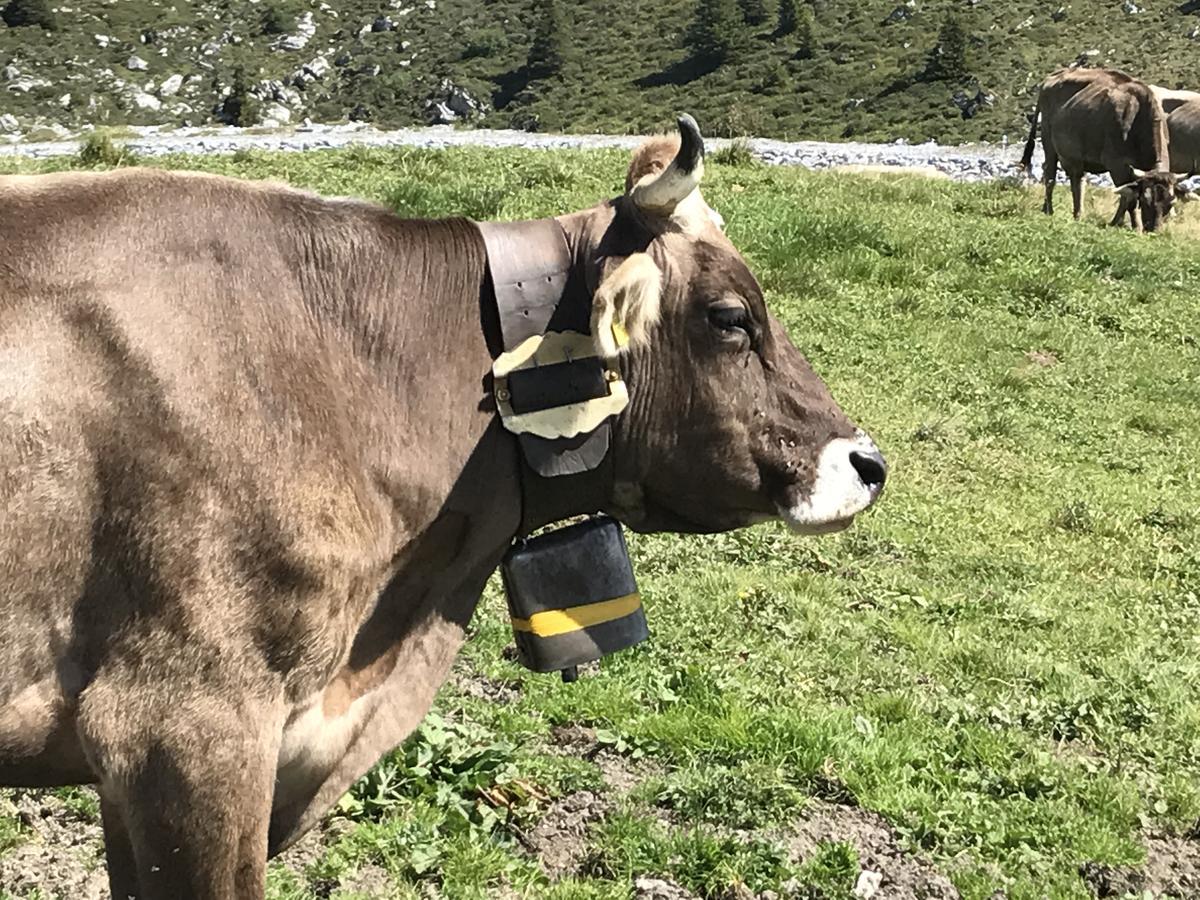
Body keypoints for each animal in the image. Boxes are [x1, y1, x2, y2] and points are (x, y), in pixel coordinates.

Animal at [1022, 65, 1180, 230]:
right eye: (1145, 200)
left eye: (1170, 203)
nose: (1153, 230)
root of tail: (1053, 76)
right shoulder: (1117, 165)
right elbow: (1128, 198)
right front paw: (1136, 227)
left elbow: (1123, 197)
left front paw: (1116, 222)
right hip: (1048, 143)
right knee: (1050, 176)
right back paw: (1048, 210)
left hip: (1076, 157)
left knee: (1078, 181)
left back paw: (1078, 215)